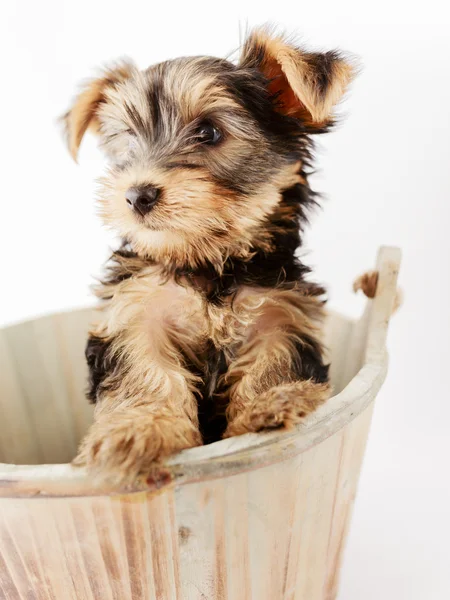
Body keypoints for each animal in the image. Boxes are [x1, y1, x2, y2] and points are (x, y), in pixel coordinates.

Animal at [62, 28, 356, 486]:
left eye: (209, 132)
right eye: (128, 140)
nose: (136, 195)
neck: (208, 260)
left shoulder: (280, 312)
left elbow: (275, 359)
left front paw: (271, 404)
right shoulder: (136, 311)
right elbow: (144, 369)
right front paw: (137, 429)